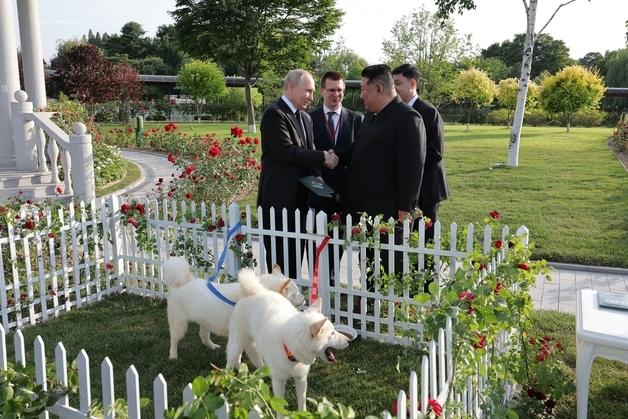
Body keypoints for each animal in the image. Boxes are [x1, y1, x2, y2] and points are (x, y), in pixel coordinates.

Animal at [162, 256, 304, 360]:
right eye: (296, 293)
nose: (305, 299)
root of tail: (184, 281)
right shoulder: (241, 333)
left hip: (205, 321)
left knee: (203, 335)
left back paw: (212, 346)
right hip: (179, 324)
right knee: (174, 339)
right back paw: (173, 356)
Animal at [227, 270, 354, 414]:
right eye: (332, 333)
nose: (349, 340)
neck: (290, 349)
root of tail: (256, 292)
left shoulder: (301, 378)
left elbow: (302, 401)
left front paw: (303, 414)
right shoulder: (278, 382)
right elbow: (280, 408)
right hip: (236, 343)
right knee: (231, 359)